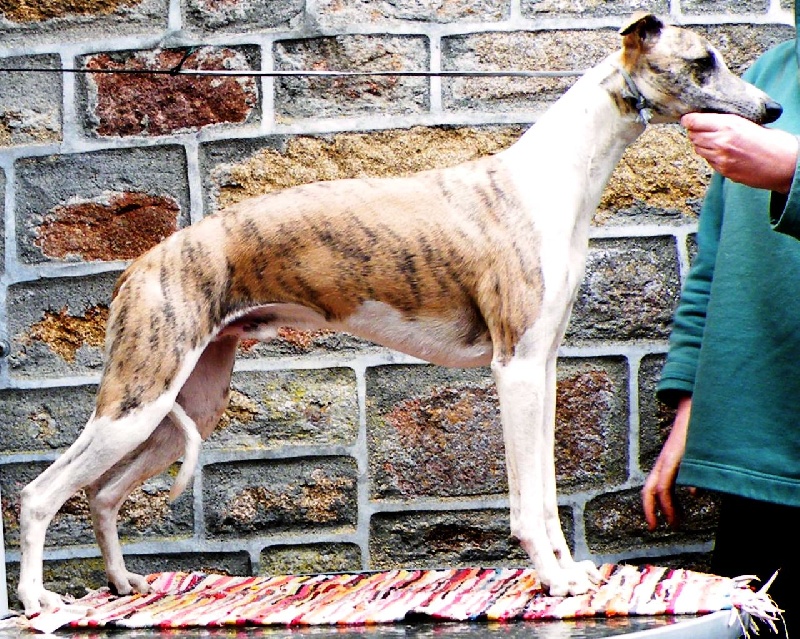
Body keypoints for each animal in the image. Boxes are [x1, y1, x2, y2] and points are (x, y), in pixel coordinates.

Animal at [16, 13, 781, 616]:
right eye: (703, 61)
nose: (773, 112)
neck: (553, 176)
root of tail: (143, 263)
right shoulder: (515, 369)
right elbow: (527, 501)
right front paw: (553, 579)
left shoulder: (542, 366)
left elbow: (546, 489)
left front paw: (569, 572)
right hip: (138, 399)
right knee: (40, 492)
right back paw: (37, 600)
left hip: (184, 405)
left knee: (103, 494)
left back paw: (122, 585)